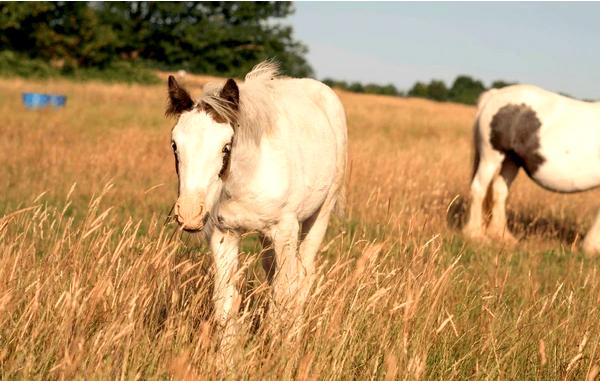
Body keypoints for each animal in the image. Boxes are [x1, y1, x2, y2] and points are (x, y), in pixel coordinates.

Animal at [166, 61, 350, 338]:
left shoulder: (285, 231)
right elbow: (225, 303)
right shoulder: (223, 232)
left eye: (226, 146)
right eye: (175, 145)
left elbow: (284, 294)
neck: (246, 176)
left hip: (320, 215)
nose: (190, 213)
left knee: (303, 276)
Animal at [464, 84, 600, 254]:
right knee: (479, 189)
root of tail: (494, 94)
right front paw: (592, 248)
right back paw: (475, 235)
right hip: (491, 156)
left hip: (511, 160)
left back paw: (503, 236)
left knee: (499, 191)